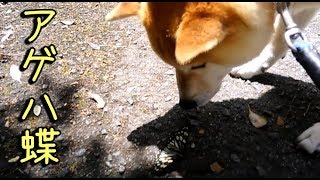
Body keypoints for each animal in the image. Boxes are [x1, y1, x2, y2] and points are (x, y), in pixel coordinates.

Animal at [107, 1, 320, 153]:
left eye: (198, 64)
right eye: (173, 65)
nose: (185, 104)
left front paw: (316, 136)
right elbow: (280, 41)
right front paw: (255, 66)